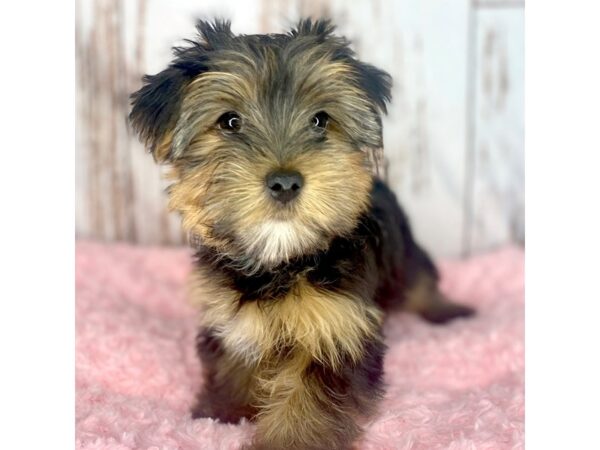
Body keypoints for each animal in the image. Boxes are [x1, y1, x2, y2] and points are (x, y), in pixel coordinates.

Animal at [130, 18, 474, 450]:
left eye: (320, 120)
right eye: (230, 122)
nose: (285, 182)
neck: (283, 259)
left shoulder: (337, 329)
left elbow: (307, 401)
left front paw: (288, 440)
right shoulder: (230, 318)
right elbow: (232, 362)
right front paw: (221, 413)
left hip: (405, 255)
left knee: (419, 279)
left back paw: (448, 309)